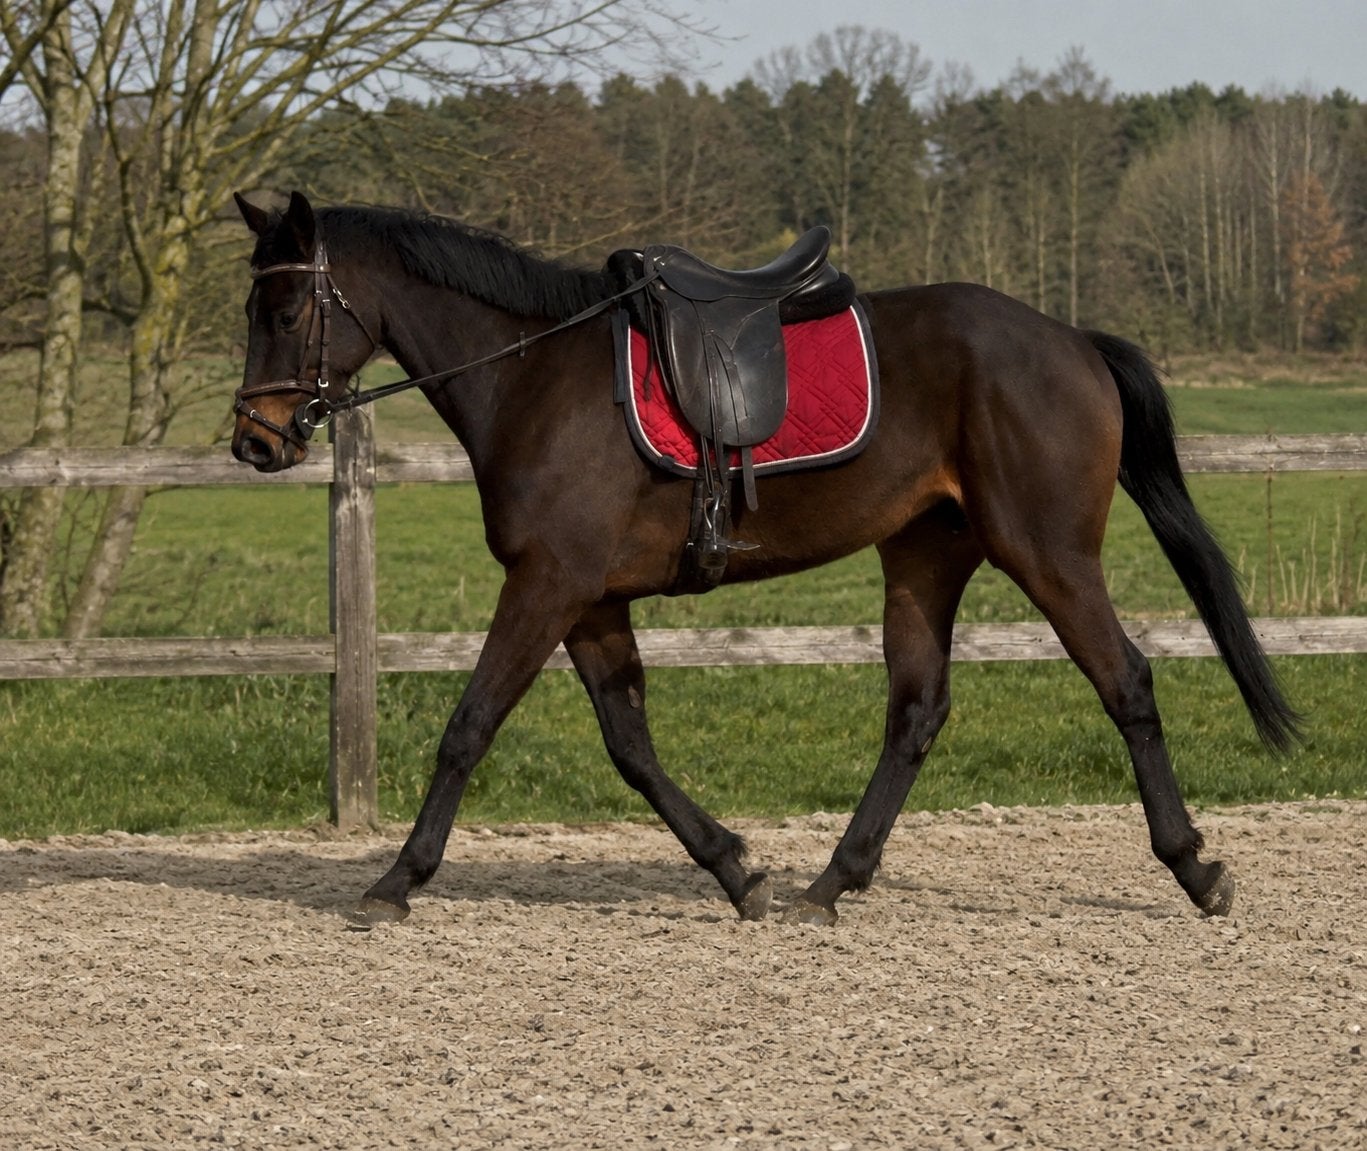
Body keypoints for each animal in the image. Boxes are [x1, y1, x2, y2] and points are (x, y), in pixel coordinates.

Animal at [230, 190, 1299, 929]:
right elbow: (630, 745)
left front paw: (394, 879)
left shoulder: (547, 584)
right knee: (916, 712)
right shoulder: (588, 599)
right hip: (925, 554)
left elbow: (470, 725)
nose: (253, 442)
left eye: (281, 315)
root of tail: (1069, 338)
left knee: (1124, 681)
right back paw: (832, 881)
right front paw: (738, 869)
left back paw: (1195, 867)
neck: (532, 374)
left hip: (1048, 551)